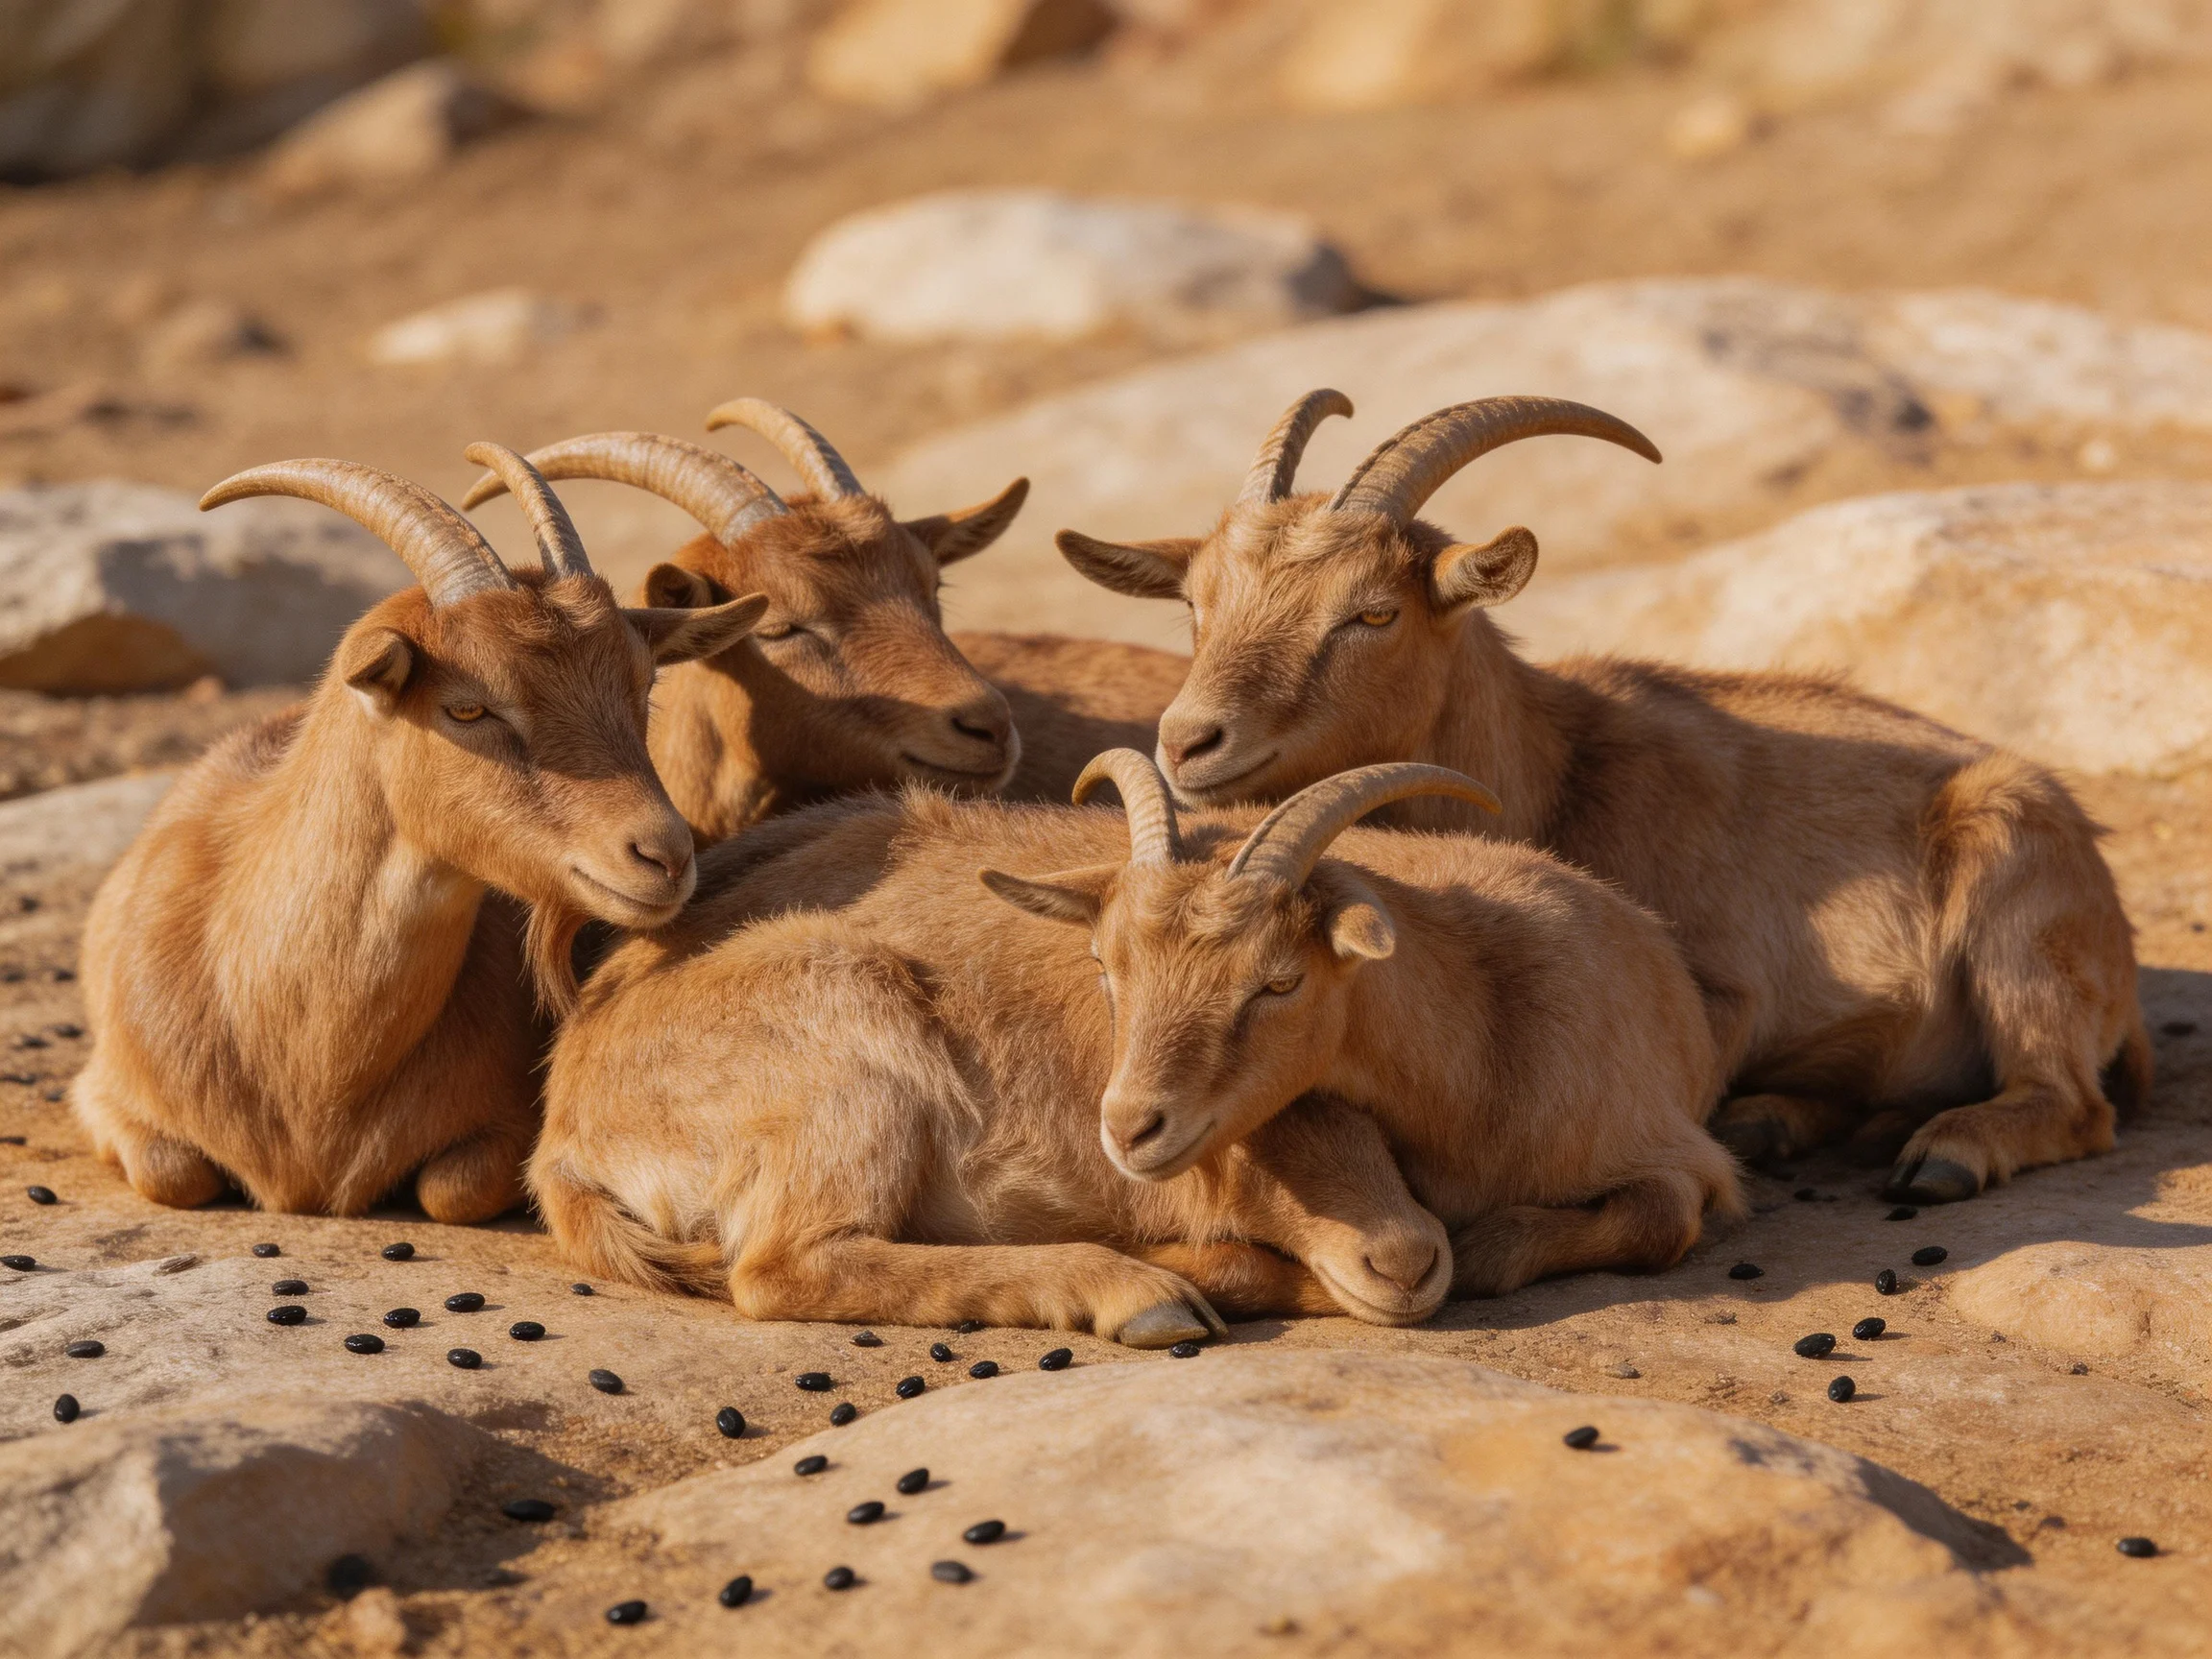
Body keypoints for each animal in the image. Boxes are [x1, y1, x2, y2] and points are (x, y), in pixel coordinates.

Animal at [73, 449, 766, 1221]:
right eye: (466, 707)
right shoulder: (103, 1094)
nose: (663, 855)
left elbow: (451, 1189)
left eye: (644, 687)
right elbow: (174, 1173)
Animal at [531, 751, 1734, 1339]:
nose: (1129, 1127)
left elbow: (1666, 1214)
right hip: (851, 1062)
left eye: (1279, 980)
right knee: (787, 1266)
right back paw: (1135, 1293)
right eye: (1107, 969)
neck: (1500, 1025)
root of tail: (565, 1127)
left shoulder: (1678, 1143)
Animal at [1056, 390, 2150, 1204]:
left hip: (2016, 889)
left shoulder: (1719, 986)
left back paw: (1943, 1154)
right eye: (1197, 604)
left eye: (1370, 613)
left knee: (2071, 1102)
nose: (1190, 739)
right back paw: (1779, 1119)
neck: (1553, 772)